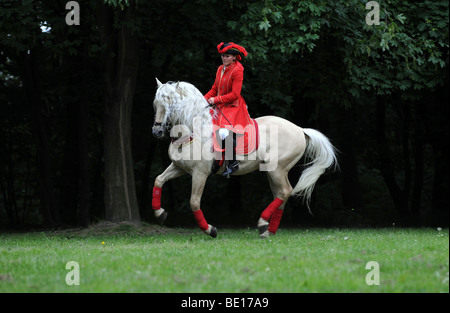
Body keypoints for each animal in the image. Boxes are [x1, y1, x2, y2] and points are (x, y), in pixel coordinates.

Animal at [151, 77, 338, 236]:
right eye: (156, 104)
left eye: (170, 103)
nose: (157, 131)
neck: (192, 130)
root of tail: (300, 129)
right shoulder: (179, 167)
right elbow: (159, 180)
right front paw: (160, 213)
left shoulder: (200, 173)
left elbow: (194, 202)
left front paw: (210, 230)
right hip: (273, 171)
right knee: (281, 194)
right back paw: (268, 230)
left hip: (277, 168)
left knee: (285, 191)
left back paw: (262, 223)